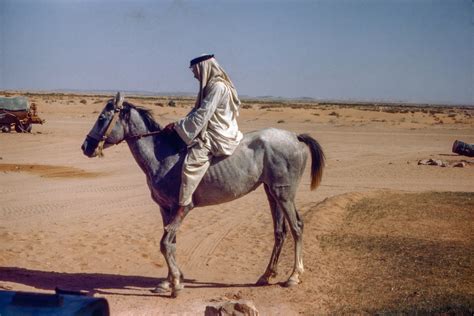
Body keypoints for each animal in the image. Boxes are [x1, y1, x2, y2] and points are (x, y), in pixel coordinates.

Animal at [82, 92, 326, 298]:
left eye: (102, 118)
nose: (86, 147)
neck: (162, 157)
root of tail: (296, 137)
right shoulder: (165, 208)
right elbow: (170, 242)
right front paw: (168, 282)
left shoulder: (182, 207)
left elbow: (165, 243)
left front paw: (176, 284)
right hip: (272, 193)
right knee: (280, 232)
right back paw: (266, 276)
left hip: (284, 194)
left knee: (296, 227)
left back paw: (293, 276)